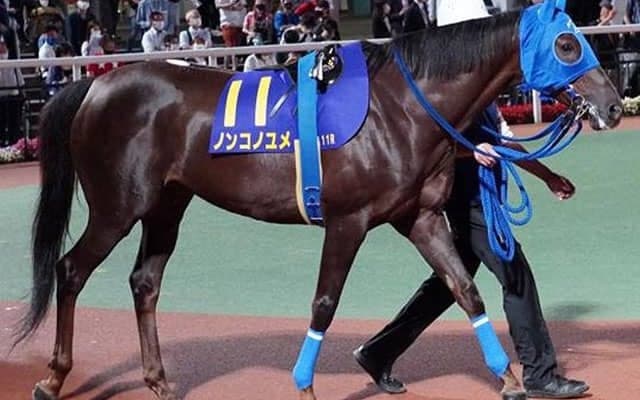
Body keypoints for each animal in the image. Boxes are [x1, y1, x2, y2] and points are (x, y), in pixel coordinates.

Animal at [15, 1, 622, 400]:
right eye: (568, 44)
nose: (614, 105)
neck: (399, 108)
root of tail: (94, 85)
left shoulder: (420, 218)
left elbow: (465, 290)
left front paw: (510, 379)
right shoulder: (347, 222)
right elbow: (325, 305)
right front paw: (304, 386)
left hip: (168, 205)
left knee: (145, 282)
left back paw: (159, 380)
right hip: (118, 206)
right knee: (71, 270)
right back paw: (53, 377)